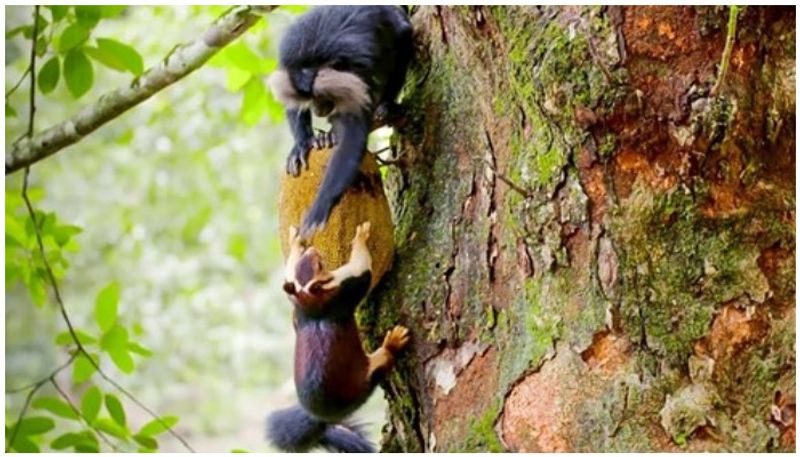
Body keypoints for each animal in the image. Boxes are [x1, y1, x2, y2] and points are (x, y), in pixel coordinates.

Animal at [266, 223, 410, 450]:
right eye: (319, 265)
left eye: (307, 263)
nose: (311, 250)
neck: (310, 302)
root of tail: (323, 415)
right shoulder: (344, 290)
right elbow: (363, 268)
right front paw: (360, 236)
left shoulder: (295, 299)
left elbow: (287, 274)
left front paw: (295, 241)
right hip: (366, 377)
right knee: (384, 360)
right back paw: (393, 342)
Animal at [268, 5, 412, 237]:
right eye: (309, 99)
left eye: (321, 96)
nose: (317, 109)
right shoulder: (289, 58)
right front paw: (302, 143)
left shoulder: (355, 74)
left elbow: (353, 136)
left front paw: (321, 206)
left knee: (401, 38)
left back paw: (385, 105)